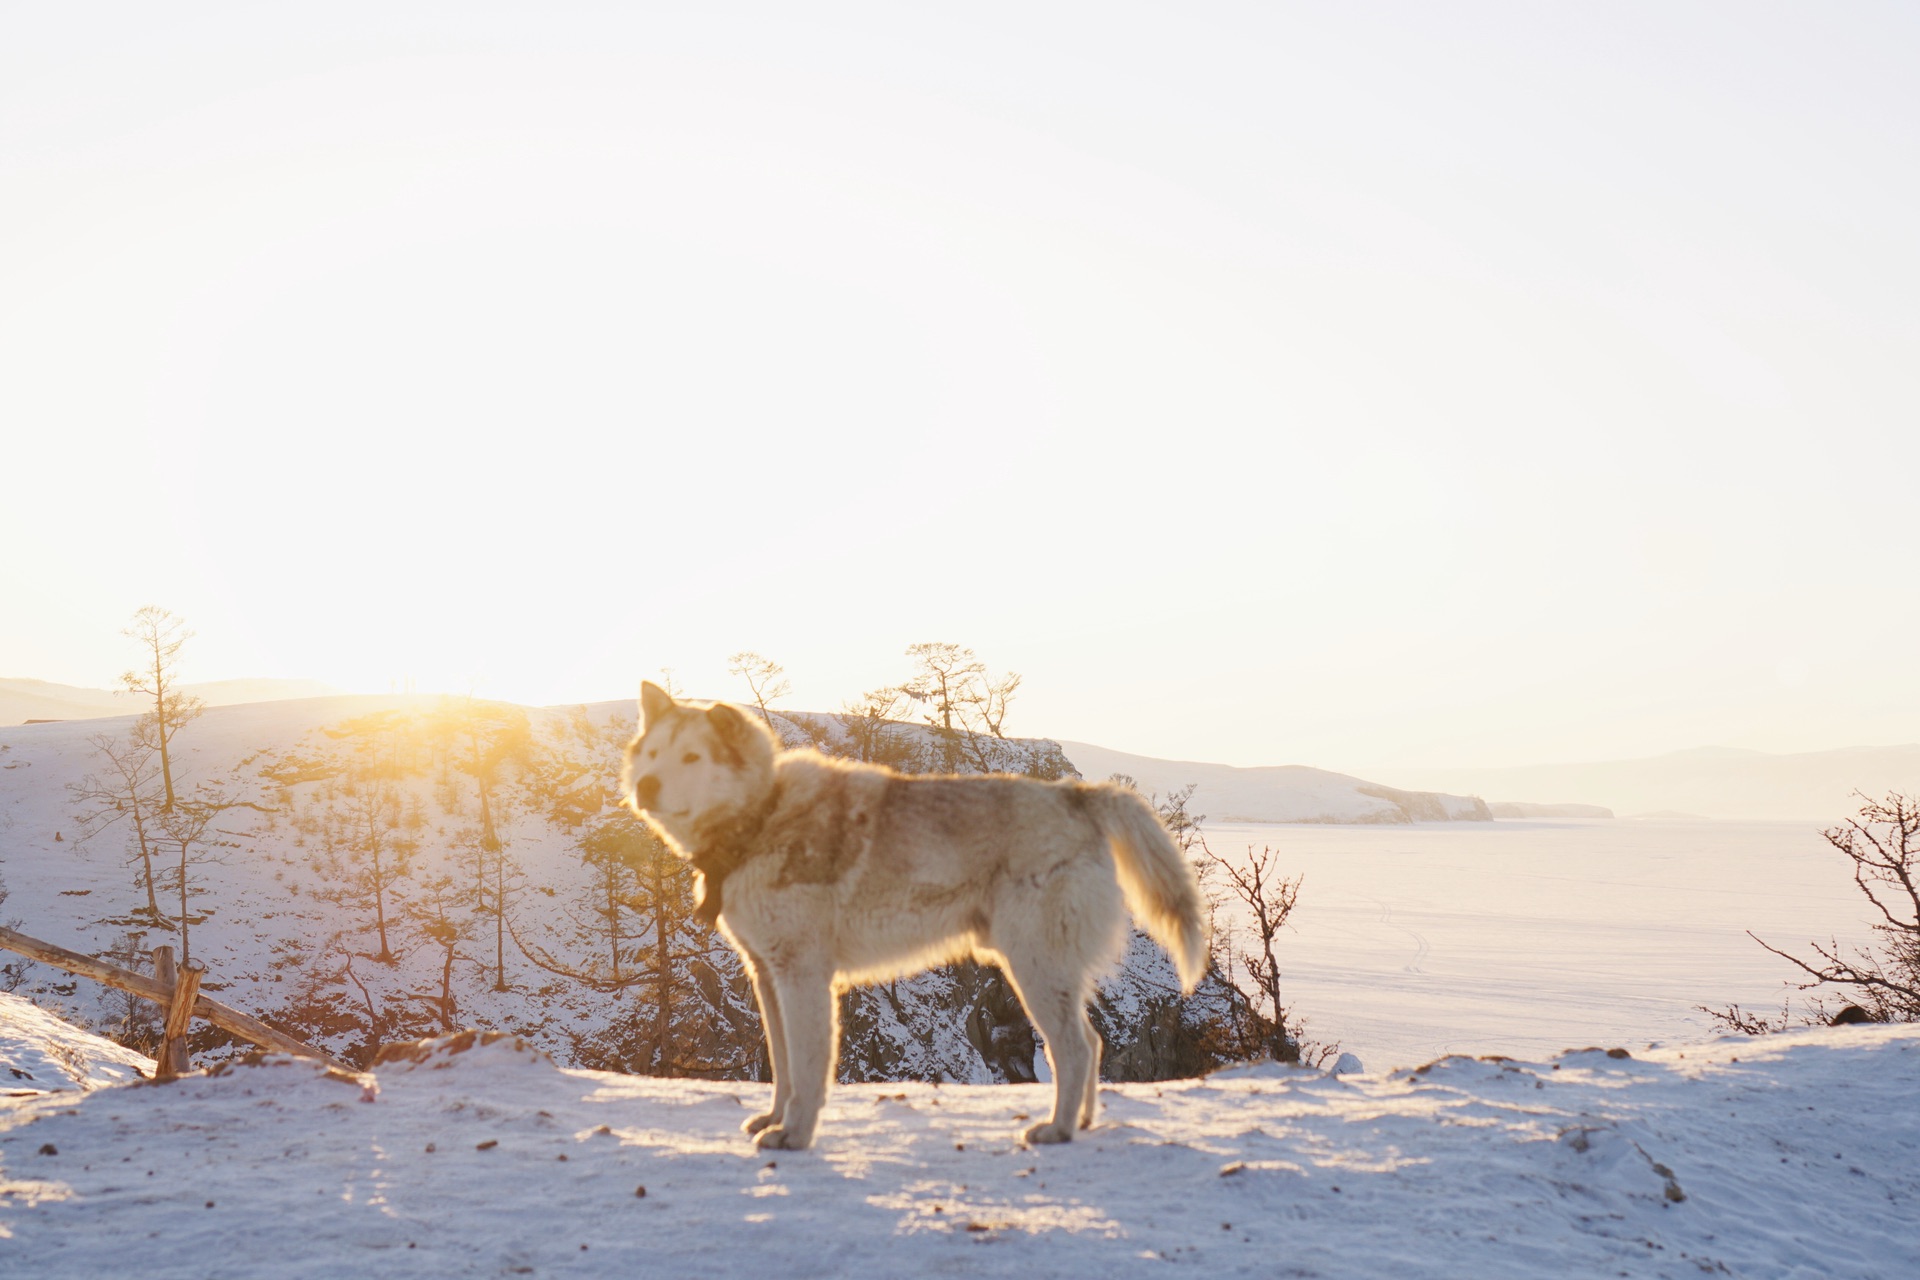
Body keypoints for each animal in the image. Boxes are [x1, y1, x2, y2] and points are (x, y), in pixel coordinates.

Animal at [622, 687, 1205, 1159]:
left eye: (692, 756)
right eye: (652, 753)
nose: (645, 786)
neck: (762, 819)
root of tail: (1075, 795)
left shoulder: (804, 977)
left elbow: (808, 1069)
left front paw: (796, 1136)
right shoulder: (767, 977)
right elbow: (782, 1068)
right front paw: (773, 1120)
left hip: (1031, 969)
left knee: (1077, 1049)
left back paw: (1056, 1130)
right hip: (1048, 972)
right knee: (1093, 1044)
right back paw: (1080, 1124)